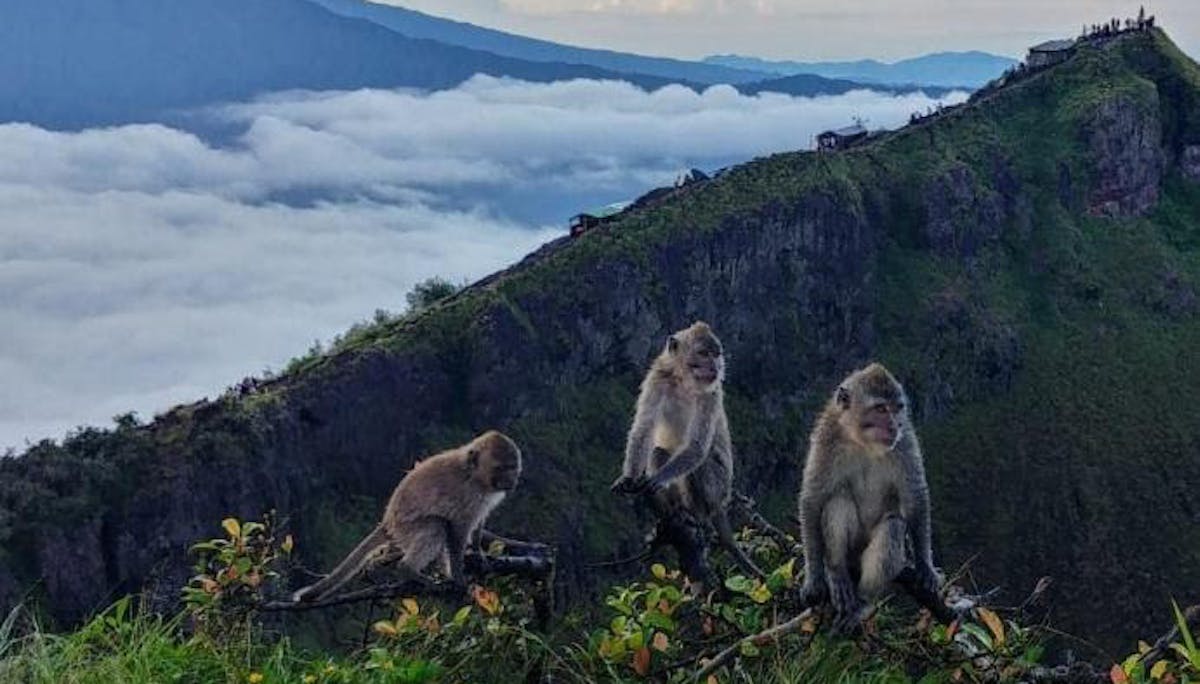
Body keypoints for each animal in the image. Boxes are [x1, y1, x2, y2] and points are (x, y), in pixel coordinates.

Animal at [290, 429, 535, 600]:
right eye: (500, 468)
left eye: (513, 466)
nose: (511, 480)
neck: (475, 476)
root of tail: (388, 519)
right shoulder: (467, 495)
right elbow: (457, 532)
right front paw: (458, 577)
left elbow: (477, 524)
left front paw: (478, 553)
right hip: (405, 527)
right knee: (437, 526)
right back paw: (408, 570)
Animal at [614, 321, 763, 583]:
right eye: (704, 353)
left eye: (716, 354)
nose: (715, 365)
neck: (684, 380)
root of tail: (721, 505)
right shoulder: (656, 379)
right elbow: (643, 429)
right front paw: (629, 479)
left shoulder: (712, 393)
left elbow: (697, 447)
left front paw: (656, 480)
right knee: (659, 452)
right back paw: (676, 512)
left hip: (718, 490)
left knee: (699, 466)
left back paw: (698, 518)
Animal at [796, 362, 955, 628]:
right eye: (881, 408)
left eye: (897, 408)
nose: (893, 425)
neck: (862, 442)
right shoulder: (827, 436)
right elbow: (813, 499)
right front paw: (815, 578)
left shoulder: (904, 440)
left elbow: (915, 497)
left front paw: (925, 566)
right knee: (838, 502)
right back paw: (837, 572)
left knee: (893, 526)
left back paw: (863, 602)